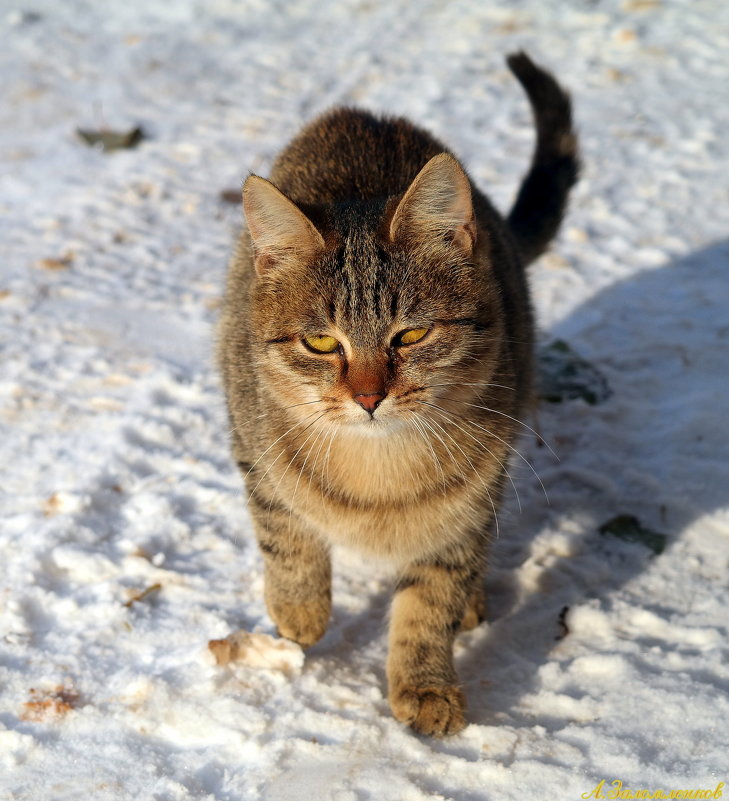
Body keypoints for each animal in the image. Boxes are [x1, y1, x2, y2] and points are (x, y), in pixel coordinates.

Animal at [216, 51, 576, 736]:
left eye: (411, 334)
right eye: (321, 343)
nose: (368, 397)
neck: (376, 473)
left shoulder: (471, 506)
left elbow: (430, 601)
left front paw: (425, 683)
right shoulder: (252, 445)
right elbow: (285, 534)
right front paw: (298, 607)